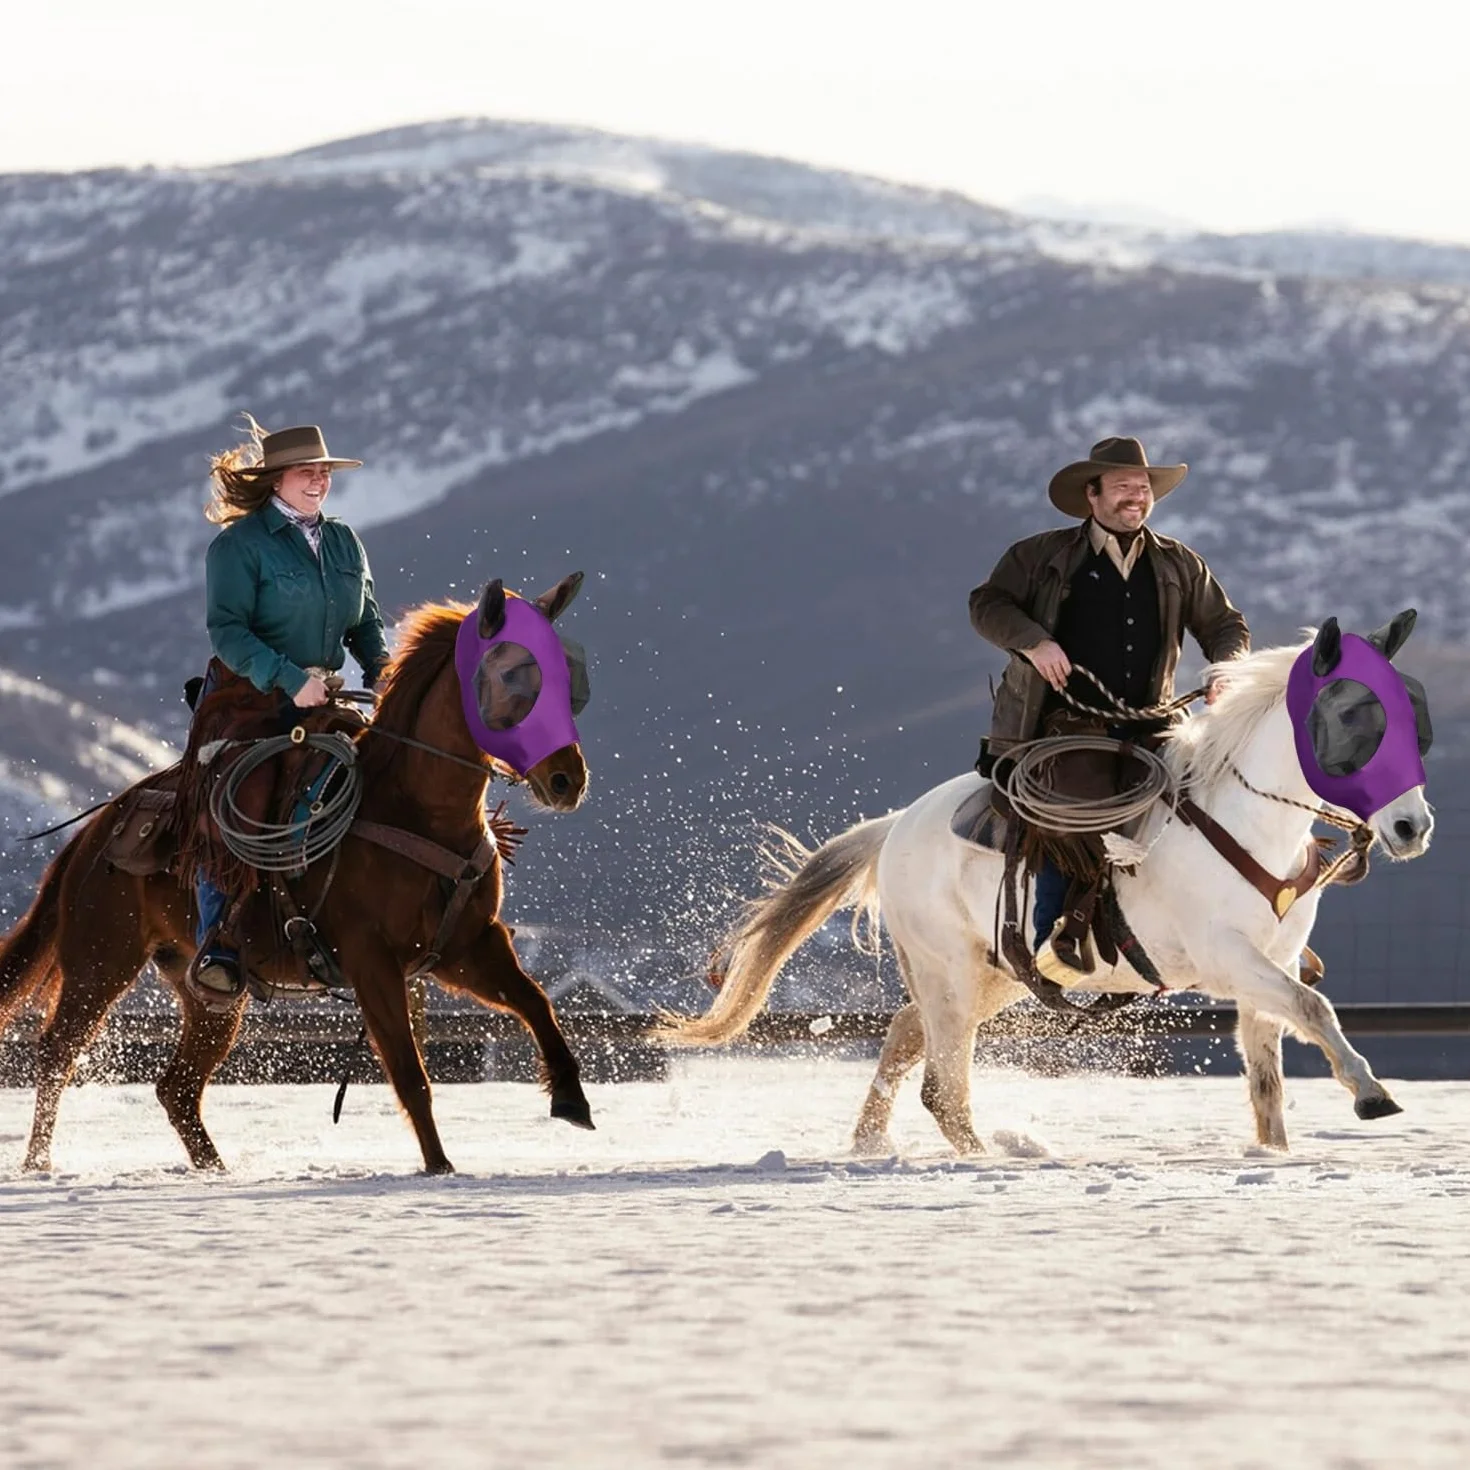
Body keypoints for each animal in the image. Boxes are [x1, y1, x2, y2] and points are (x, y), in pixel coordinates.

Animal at [0, 574, 594, 1175]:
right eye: (512, 672)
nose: (567, 779)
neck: (413, 807)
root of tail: (96, 829)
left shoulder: (466, 947)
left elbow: (536, 1003)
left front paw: (571, 1098)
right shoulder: (372, 961)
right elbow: (409, 1071)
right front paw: (439, 1166)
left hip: (206, 992)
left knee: (177, 1087)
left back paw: (217, 1170)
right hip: (101, 961)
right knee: (58, 1052)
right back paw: (38, 1164)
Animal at [658, 613, 1436, 1155]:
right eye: (1351, 714)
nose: (1411, 827)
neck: (1243, 823)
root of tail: (896, 825)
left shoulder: (1269, 963)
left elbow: (1268, 1072)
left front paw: (1275, 1153)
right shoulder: (1229, 959)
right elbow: (1314, 1008)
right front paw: (1372, 1095)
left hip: (998, 971)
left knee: (908, 1035)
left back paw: (873, 1144)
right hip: (950, 968)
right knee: (943, 1083)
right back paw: (991, 1159)